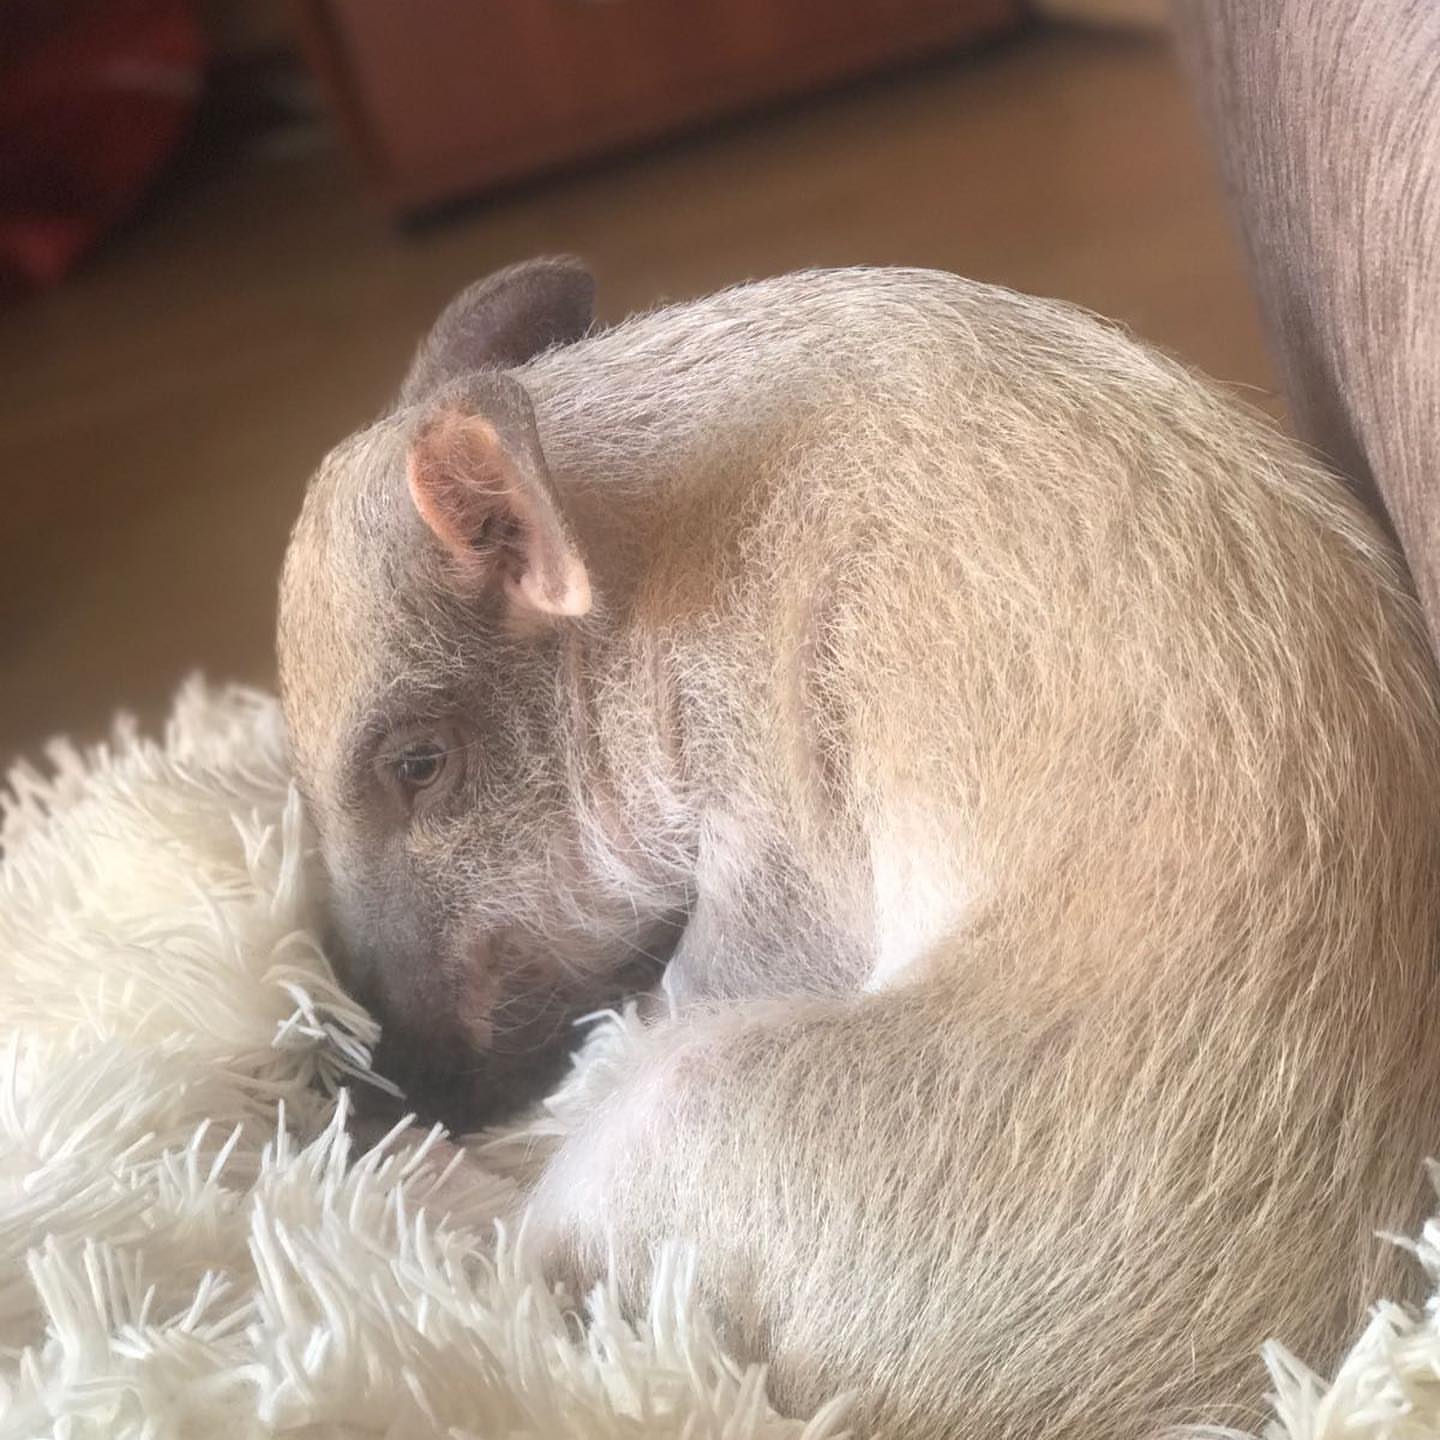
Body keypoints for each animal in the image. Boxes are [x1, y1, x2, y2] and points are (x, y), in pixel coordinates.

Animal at [277, 258, 1440, 1438]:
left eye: (419, 761)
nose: (371, 1080)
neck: (644, 599)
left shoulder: (774, 811)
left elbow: (717, 968)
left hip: (706, 1113)